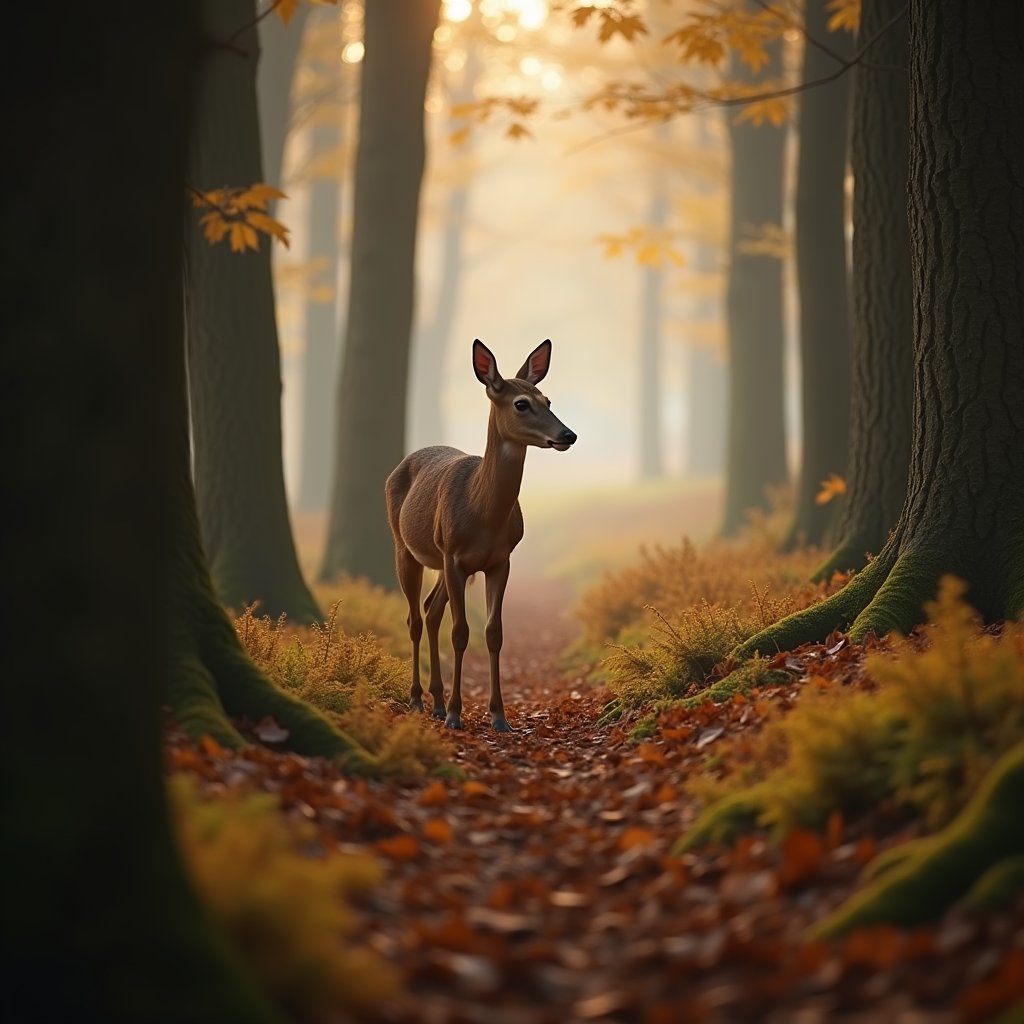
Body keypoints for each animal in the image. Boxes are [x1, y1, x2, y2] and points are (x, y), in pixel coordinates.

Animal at [385, 339, 577, 732]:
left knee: (431, 610)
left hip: (441, 562)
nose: (569, 435)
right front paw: (457, 714)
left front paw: (499, 716)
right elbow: (461, 632)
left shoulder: (499, 560)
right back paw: (418, 700)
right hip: (406, 548)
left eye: (548, 399)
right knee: (414, 618)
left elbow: (493, 633)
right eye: (522, 403)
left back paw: (436, 701)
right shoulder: (454, 554)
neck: (483, 516)